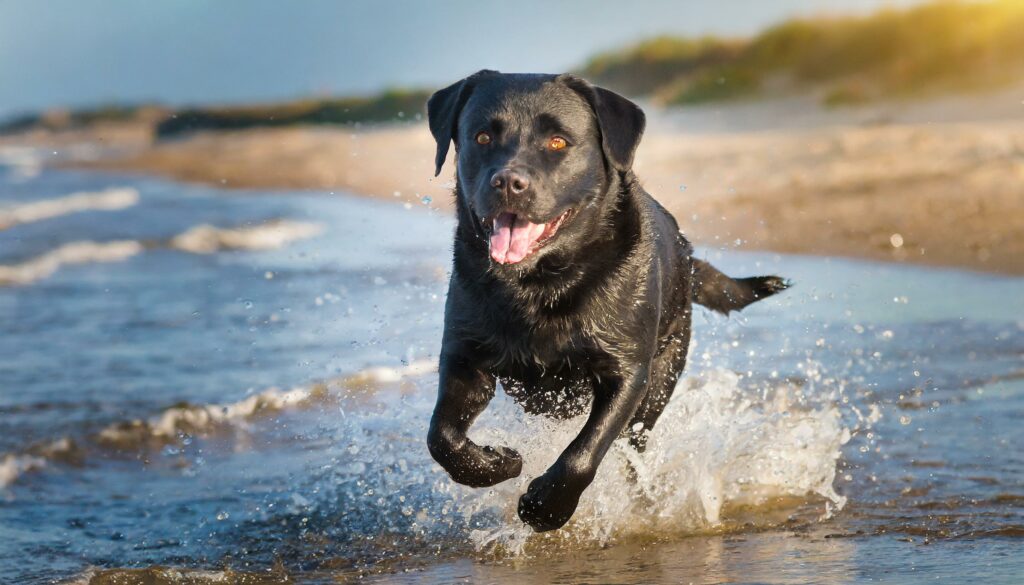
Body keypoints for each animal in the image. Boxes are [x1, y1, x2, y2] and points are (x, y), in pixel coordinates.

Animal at [421, 71, 782, 532]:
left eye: (558, 142)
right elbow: (441, 437)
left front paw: (546, 508)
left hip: (662, 378)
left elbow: (584, 453)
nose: (507, 182)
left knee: (632, 449)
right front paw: (498, 462)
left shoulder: (627, 372)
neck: (539, 285)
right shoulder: (465, 356)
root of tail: (687, 257)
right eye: (482, 137)